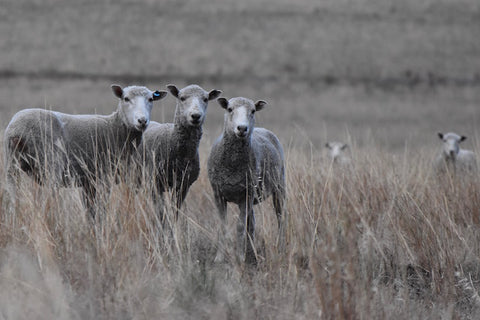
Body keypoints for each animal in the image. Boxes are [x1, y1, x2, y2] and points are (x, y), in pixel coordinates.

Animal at [4, 84, 167, 219]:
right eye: (126, 99)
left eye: (151, 99)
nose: (142, 121)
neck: (115, 128)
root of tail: (17, 130)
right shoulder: (103, 177)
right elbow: (101, 210)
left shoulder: (88, 181)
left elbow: (90, 212)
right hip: (50, 165)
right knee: (47, 201)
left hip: (11, 166)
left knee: (13, 199)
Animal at [139, 84, 221, 221]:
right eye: (182, 98)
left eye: (205, 99)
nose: (195, 116)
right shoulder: (155, 183)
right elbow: (160, 212)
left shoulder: (183, 186)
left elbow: (175, 211)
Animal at [207, 97, 284, 264]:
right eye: (229, 109)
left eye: (253, 111)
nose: (242, 128)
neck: (232, 167)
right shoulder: (218, 194)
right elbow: (224, 225)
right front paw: (219, 257)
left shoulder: (245, 195)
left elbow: (240, 226)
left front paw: (240, 256)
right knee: (253, 224)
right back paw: (252, 251)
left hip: (279, 186)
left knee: (281, 217)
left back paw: (280, 245)